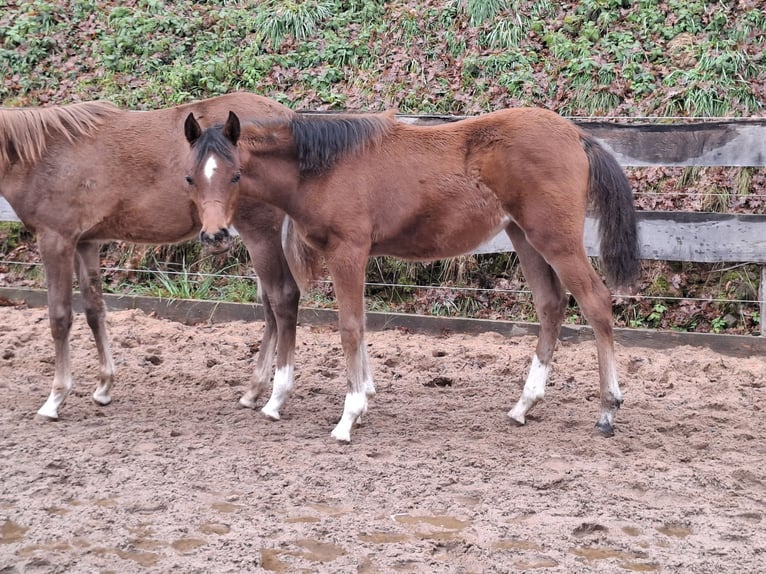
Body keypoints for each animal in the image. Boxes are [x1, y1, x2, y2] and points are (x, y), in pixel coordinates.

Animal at [0, 93, 302, 422]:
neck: (42, 155)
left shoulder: (55, 240)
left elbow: (59, 317)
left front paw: (55, 399)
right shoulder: (86, 243)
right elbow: (94, 310)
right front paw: (104, 387)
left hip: (259, 235)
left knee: (282, 298)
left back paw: (276, 399)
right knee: (269, 308)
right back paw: (253, 391)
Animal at [183, 107, 640, 443]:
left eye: (236, 175)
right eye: (190, 177)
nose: (215, 235)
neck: (324, 168)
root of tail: (576, 135)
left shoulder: (347, 251)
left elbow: (349, 327)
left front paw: (348, 418)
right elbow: (362, 323)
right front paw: (362, 399)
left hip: (556, 239)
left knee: (596, 302)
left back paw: (607, 410)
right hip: (524, 237)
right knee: (551, 305)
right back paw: (523, 406)